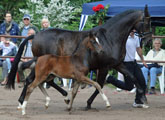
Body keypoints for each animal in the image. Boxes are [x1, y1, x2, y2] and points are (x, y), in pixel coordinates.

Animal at [6, 6, 151, 109]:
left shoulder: (117, 64)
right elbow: (99, 85)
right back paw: (24, 101)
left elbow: (133, 78)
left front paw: (142, 98)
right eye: (146, 22)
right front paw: (89, 103)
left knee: (42, 80)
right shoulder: (104, 67)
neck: (110, 37)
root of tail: (35, 35)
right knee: (34, 80)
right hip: (43, 65)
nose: (148, 40)